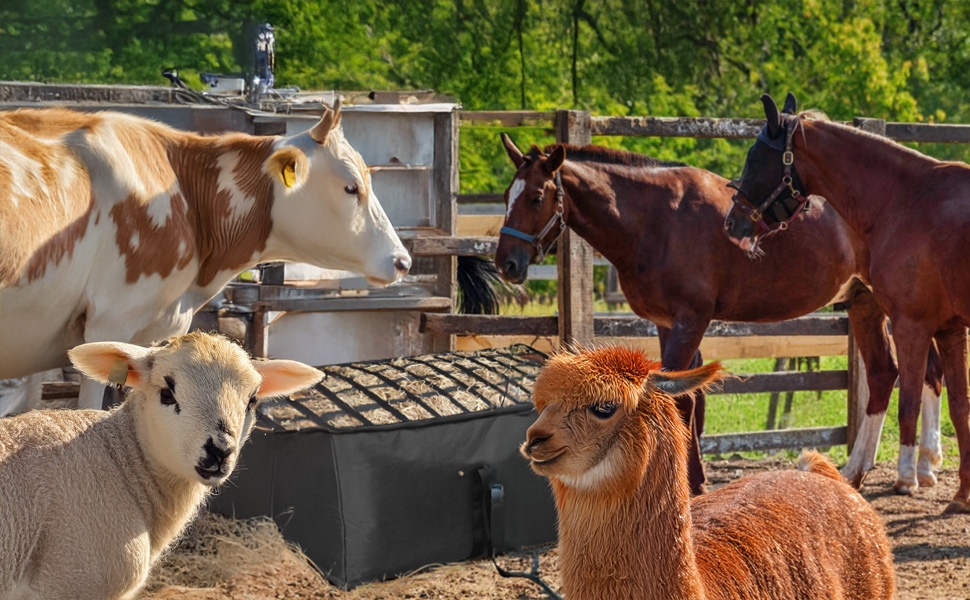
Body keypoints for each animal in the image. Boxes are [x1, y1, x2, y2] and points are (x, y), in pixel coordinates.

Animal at [495, 133, 943, 495]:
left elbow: (682, 402)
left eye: (536, 197)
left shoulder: (690, 320)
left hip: (900, 310)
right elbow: (690, 398)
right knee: (888, 374)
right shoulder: (667, 323)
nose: (506, 264)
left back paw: (915, 466)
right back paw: (870, 469)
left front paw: (691, 482)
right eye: (504, 198)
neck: (657, 219)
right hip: (865, 305)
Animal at [724, 92, 970, 512]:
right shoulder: (950, 329)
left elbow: (908, 400)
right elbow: (960, 405)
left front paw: (906, 478)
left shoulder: (912, 324)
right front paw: (962, 493)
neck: (906, 201)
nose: (732, 223)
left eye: (755, 158)